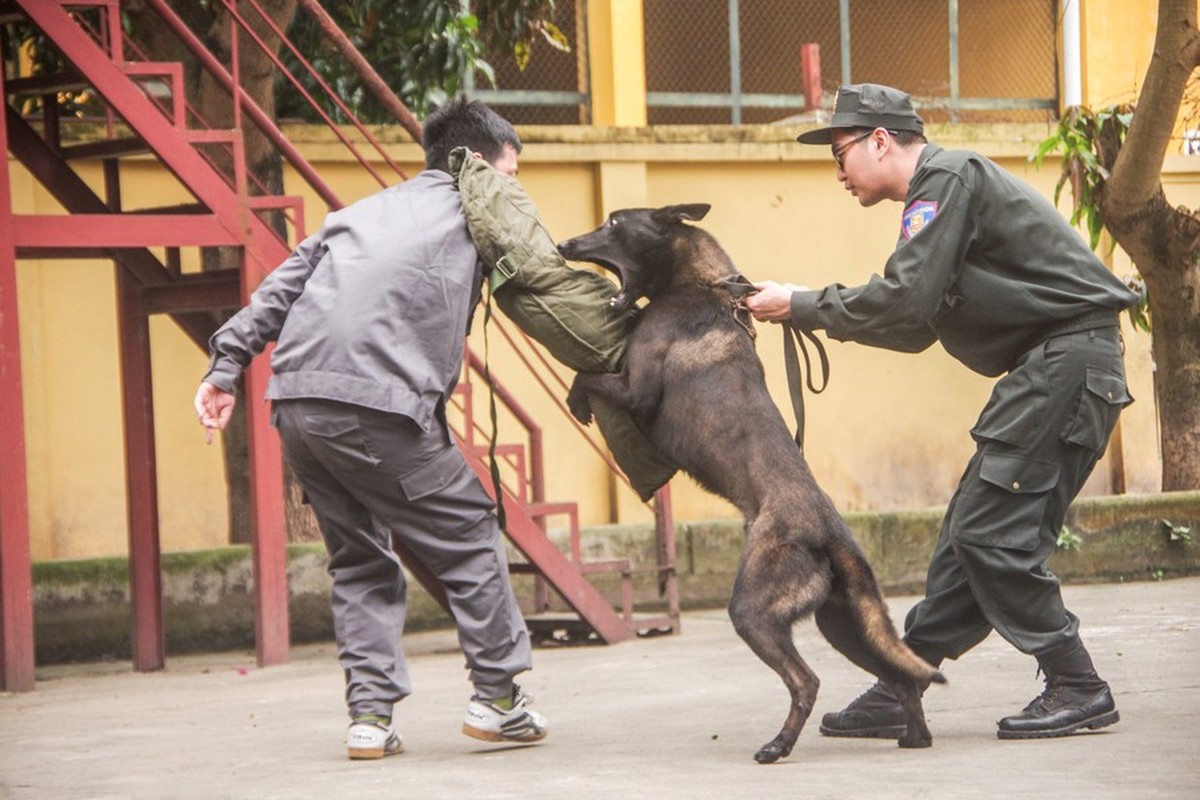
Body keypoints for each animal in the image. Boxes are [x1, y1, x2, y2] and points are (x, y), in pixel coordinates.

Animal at [556, 201, 940, 762]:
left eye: (614, 223)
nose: (563, 245)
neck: (701, 283)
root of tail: (829, 533)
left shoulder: (637, 388)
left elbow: (588, 378)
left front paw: (577, 400)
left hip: (754, 611)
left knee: (806, 681)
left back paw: (778, 746)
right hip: (842, 622)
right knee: (901, 677)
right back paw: (914, 736)